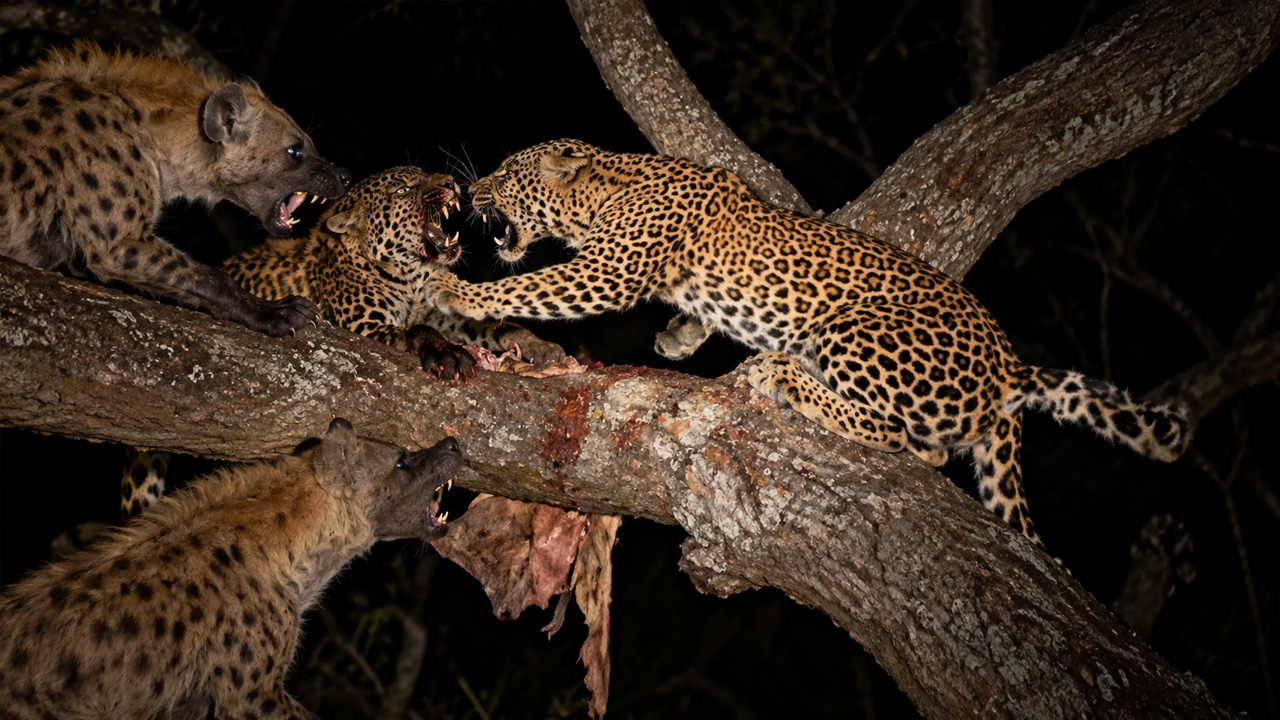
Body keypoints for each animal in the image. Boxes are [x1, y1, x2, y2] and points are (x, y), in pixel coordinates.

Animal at [0, 42, 350, 338]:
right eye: (294, 150)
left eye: (309, 144)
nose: (345, 176)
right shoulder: (121, 240)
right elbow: (212, 277)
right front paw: (281, 313)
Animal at [424, 138, 1191, 546]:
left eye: (505, 173)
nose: (473, 187)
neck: (608, 188)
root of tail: (1009, 369)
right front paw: (678, 338)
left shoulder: (610, 269)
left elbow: (537, 285)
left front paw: (456, 291)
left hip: (857, 328)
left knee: (907, 437)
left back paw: (778, 375)